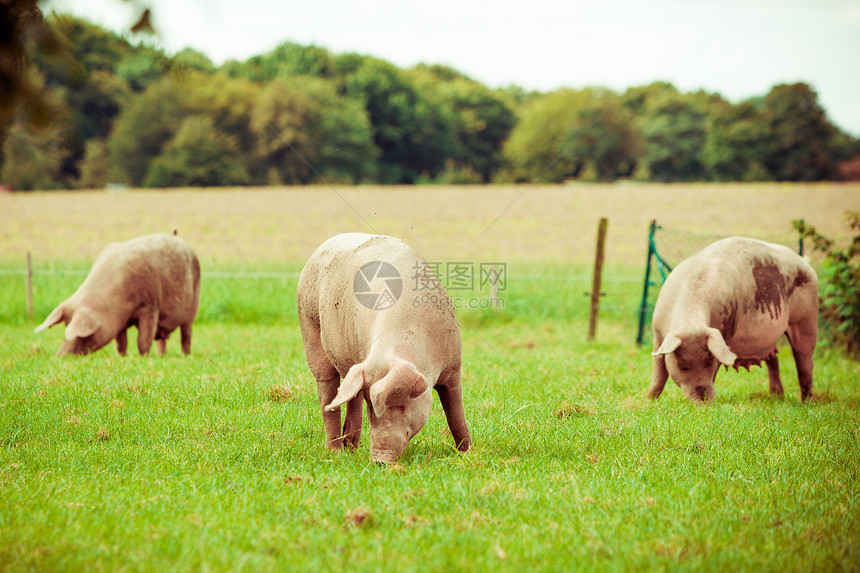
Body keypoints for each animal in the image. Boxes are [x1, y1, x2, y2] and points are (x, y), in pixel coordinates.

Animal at [35, 230, 202, 356]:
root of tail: (175, 235)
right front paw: (122, 356)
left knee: (186, 334)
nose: (60, 355)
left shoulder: (150, 306)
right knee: (162, 339)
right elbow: (121, 342)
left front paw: (144, 357)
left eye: (84, 336)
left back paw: (185, 355)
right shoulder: (119, 320)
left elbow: (143, 339)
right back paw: (161, 355)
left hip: (194, 302)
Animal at [296, 232, 470, 464]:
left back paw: (351, 448)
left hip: (353, 366)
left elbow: (456, 414)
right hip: (309, 325)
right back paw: (336, 453)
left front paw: (469, 452)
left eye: (403, 404)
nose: (380, 460)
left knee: (350, 395)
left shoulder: (453, 366)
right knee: (327, 393)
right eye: (372, 408)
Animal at [652, 237, 820, 402]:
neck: (691, 321)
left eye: (709, 360)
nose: (703, 400)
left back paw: (807, 402)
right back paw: (777, 398)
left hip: (807, 318)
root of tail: (805, 263)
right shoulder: (658, 336)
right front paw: (650, 400)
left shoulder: (723, 336)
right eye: (682, 364)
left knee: (805, 362)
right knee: (774, 360)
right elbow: (658, 374)